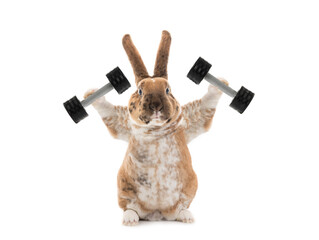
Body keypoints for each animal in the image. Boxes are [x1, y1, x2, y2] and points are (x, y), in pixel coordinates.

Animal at [84, 31, 226, 226]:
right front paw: (91, 94)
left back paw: (187, 216)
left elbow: (205, 105)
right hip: (124, 189)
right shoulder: (122, 123)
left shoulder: (190, 120)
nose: (156, 106)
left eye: (168, 90)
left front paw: (220, 83)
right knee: (130, 208)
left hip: (188, 190)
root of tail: (157, 214)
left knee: (180, 209)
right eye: (140, 91)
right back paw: (130, 220)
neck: (156, 130)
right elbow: (109, 111)